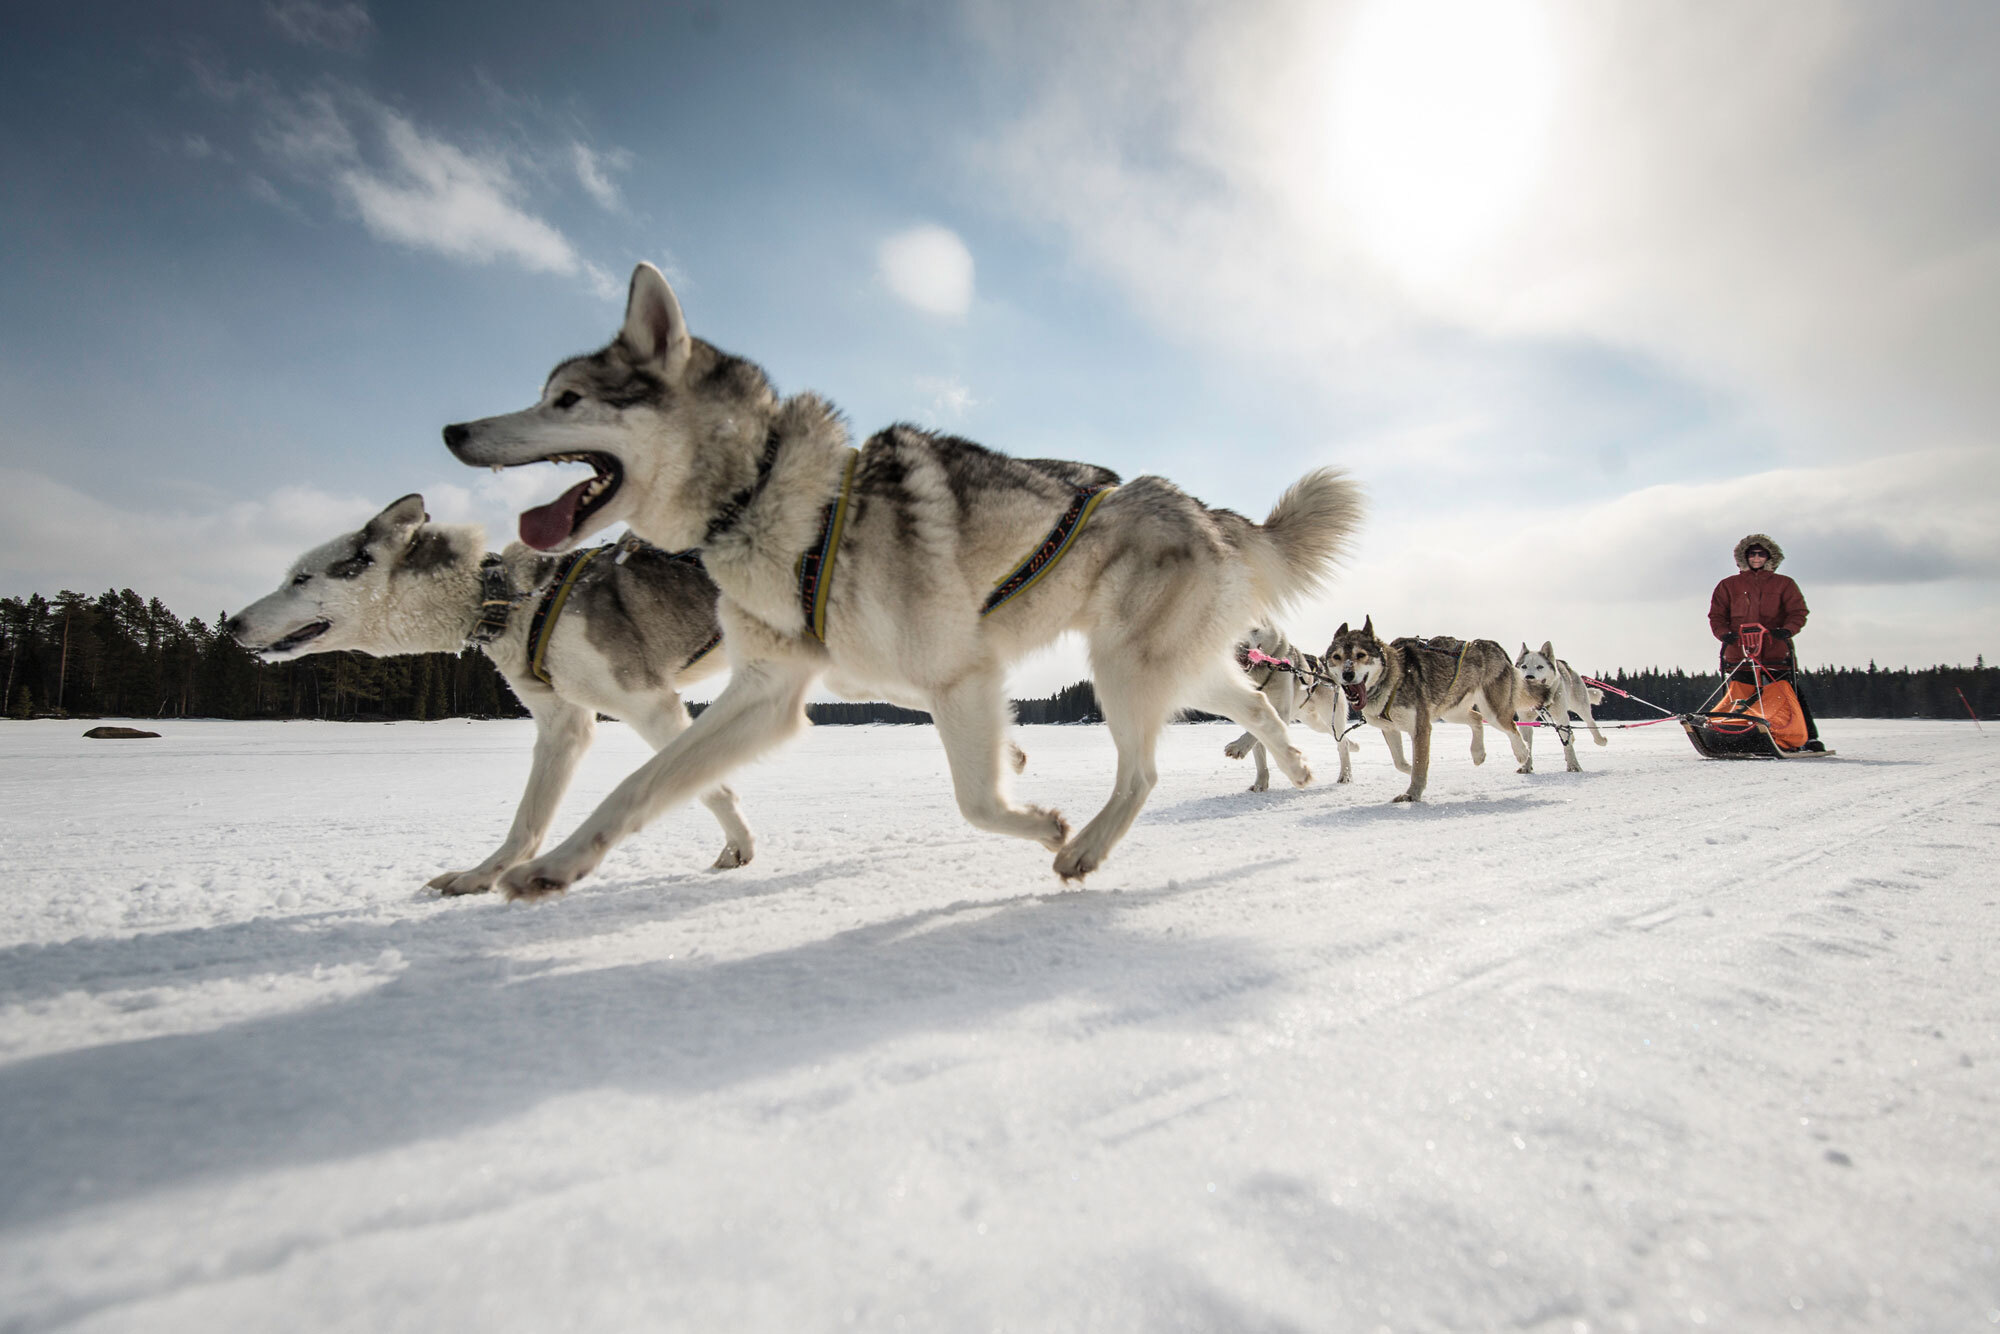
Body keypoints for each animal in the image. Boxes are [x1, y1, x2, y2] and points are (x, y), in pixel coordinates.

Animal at [227, 496, 752, 892]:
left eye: (301, 579)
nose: (232, 624)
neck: (510, 602)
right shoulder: (564, 728)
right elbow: (527, 820)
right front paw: (481, 876)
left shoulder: (650, 704)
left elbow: (707, 783)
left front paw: (740, 846)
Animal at [1216, 628, 1360, 792]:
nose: (1242, 647)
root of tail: (1324, 665)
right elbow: (1259, 753)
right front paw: (1260, 784)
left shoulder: (1280, 713)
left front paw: (1238, 747)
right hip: (1314, 722)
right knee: (1339, 737)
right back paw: (1353, 746)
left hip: (1332, 716)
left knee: (1342, 745)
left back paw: (1345, 775)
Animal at [1328, 620, 1528, 804]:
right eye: (1337, 657)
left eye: (1361, 655)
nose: (1347, 674)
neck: (1392, 679)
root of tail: (1491, 644)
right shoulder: (1390, 729)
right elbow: (1401, 762)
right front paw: (1412, 771)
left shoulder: (1420, 728)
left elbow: (1419, 762)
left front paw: (1412, 794)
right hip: (1451, 712)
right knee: (1477, 719)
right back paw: (1478, 753)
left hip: (1493, 712)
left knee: (1512, 727)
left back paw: (1522, 754)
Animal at [1512, 644, 1608, 772]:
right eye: (1524, 666)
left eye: (1540, 667)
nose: (1529, 677)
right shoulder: (1525, 720)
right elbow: (1527, 745)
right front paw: (1525, 767)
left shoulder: (1562, 717)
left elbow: (1568, 746)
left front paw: (1574, 766)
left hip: (1580, 706)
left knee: (1590, 723)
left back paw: (1600, 740)